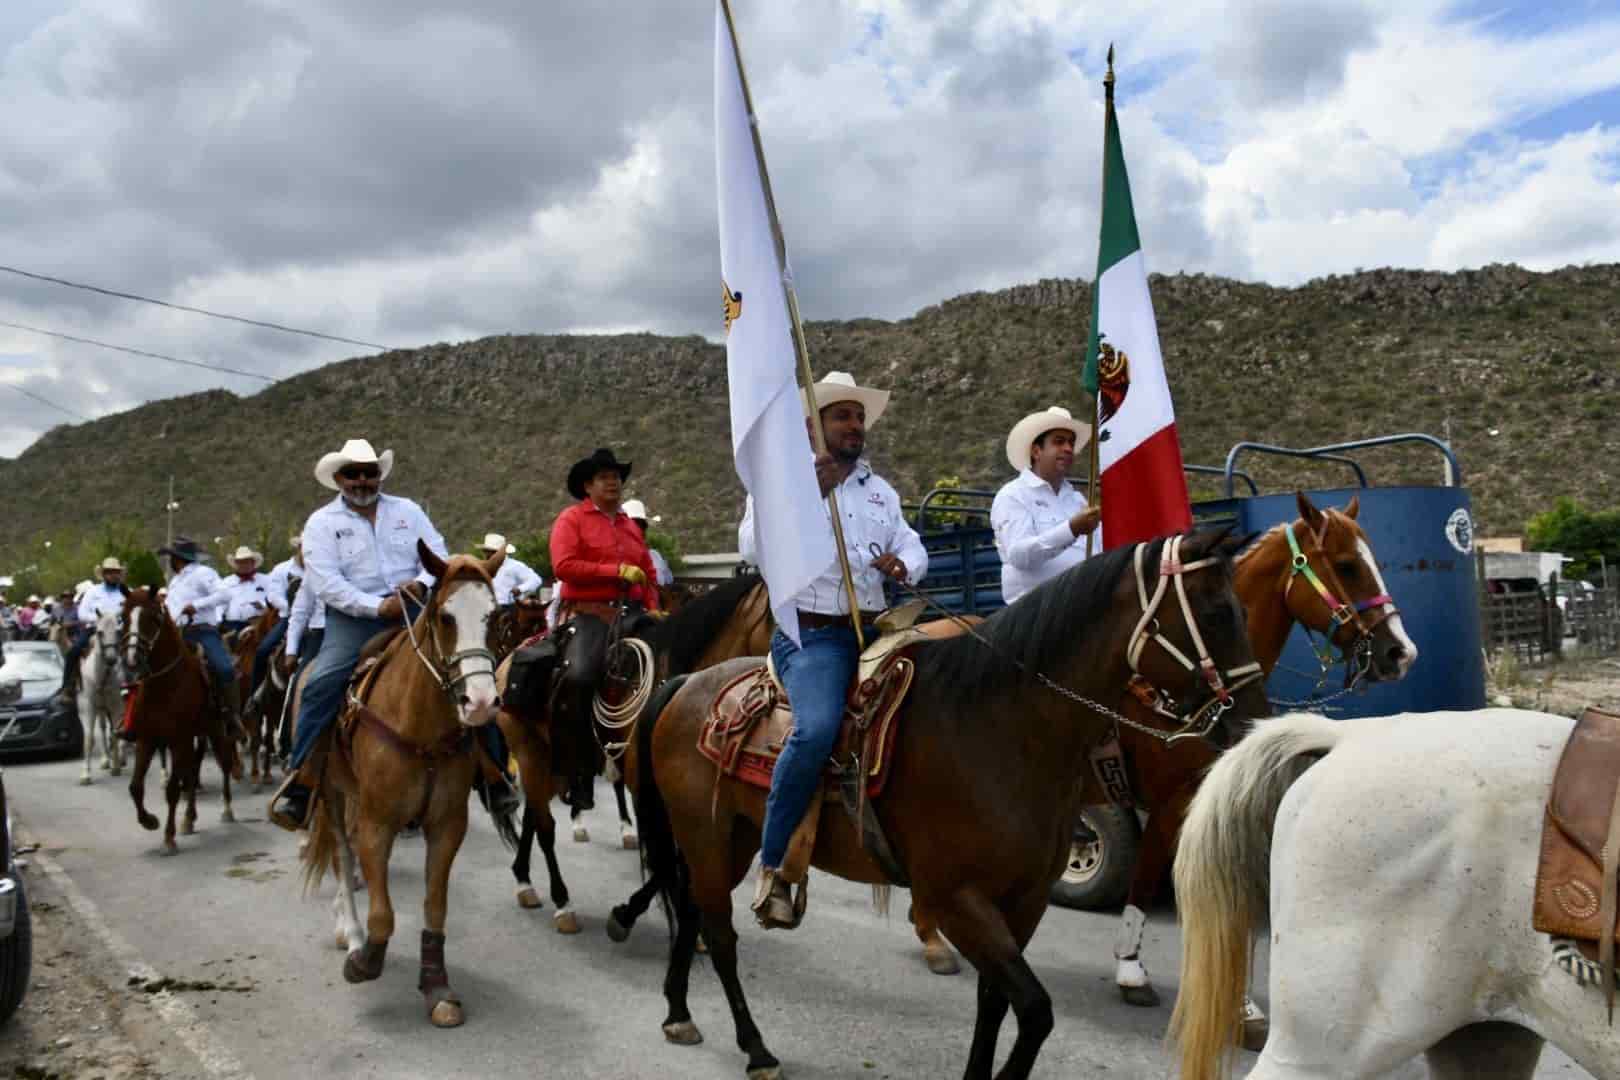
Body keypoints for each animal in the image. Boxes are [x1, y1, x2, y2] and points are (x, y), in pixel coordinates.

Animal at [75, 608, 124, 786]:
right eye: (100, 632)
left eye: (118, 631)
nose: (111, 659)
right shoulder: (87, 707)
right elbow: (88, 739)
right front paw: (85, 775)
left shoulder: (116, 705)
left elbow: (116, 733)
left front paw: (116, 767)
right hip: (100, 708)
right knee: (102, 728)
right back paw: (105, 760)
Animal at [118, 592, 236, 854]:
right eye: (123, 617)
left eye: (152, 618)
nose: (132, 659)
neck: (164, 684)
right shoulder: (148, 739)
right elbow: (135, 786)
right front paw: (149, 821)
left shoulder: (178, 739)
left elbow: (172, 789)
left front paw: (168, 837)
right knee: (191, 772)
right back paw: (189, 818)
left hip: (215, 729)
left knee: (224, 762)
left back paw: (227, 809)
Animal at [301, 550, 502, 1029]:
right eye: (445, 617)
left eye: (495, 615)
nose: (481, 703)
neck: (422, 730)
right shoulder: (377, 823)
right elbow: (383, 914)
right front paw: (365, 959)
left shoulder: (447, 825)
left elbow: (435, 907)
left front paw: (437, 988)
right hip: (332, 795)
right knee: (342, 855)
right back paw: (350, 932)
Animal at [628, 531, 1263, 1080]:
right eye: (1216, 612)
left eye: (1240, 608)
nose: (1250, 726)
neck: (996, 727)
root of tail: (685, 684)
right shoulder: (957, 900)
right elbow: (1035, 1010)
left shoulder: (1024, 901)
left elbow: (996, 1000)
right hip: (707, 838)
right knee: (720, 935)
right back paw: (756, 1048)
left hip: (731, 840)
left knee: (692, 913)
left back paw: (678, 1012)